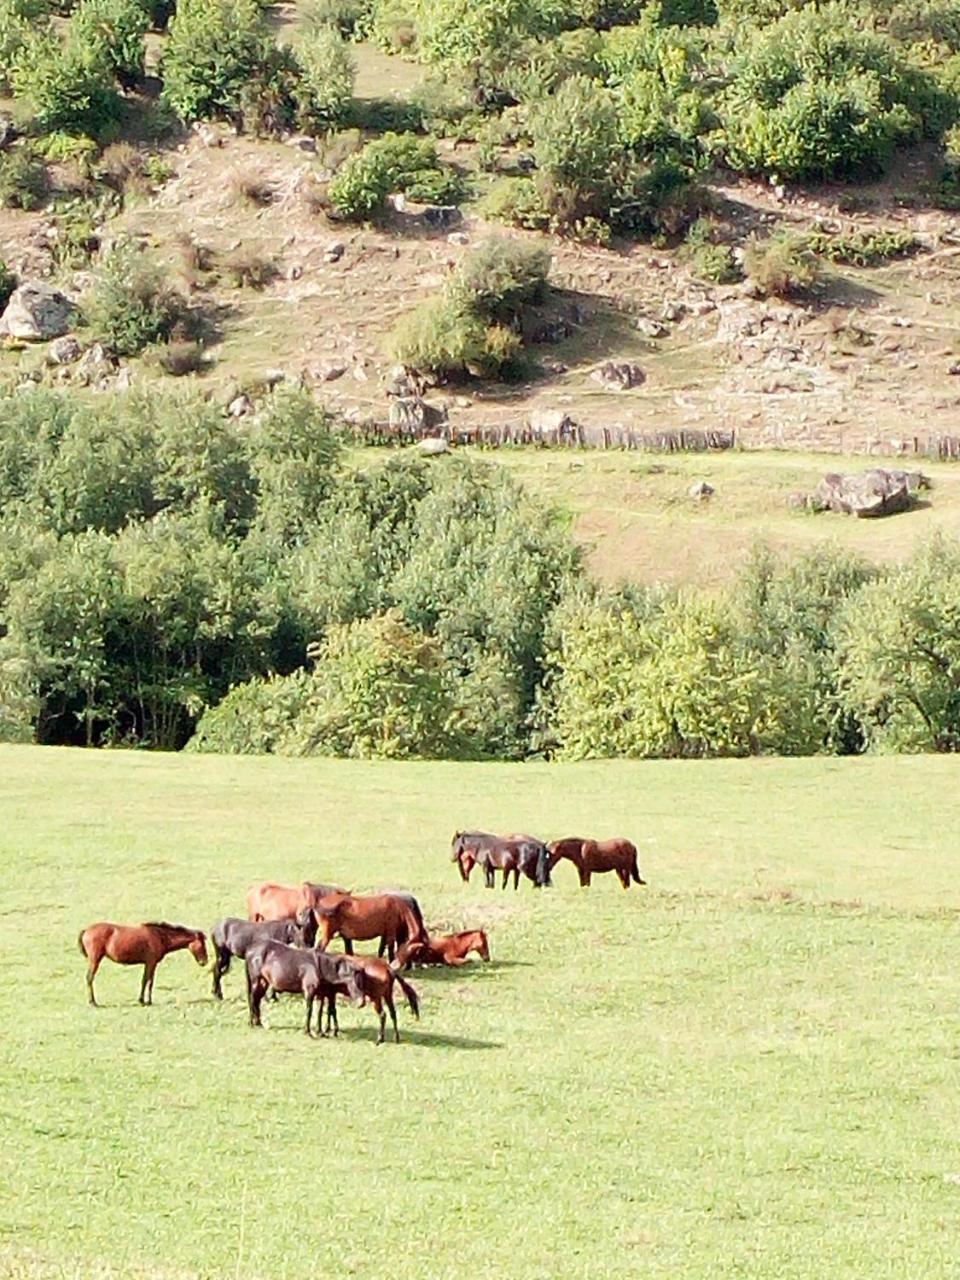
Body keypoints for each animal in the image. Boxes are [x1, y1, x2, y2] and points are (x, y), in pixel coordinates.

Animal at [77, 921, 208, 1008]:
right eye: (202, 944)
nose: (204, 961)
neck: (159, 936)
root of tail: (86, 930)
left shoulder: (151, 964)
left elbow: (148, 981)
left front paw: (145, 1000)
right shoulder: (151, 962)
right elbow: (147, 981)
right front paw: (145, 1001)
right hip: (95, 960)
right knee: (89, 978)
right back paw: (93, 1002)